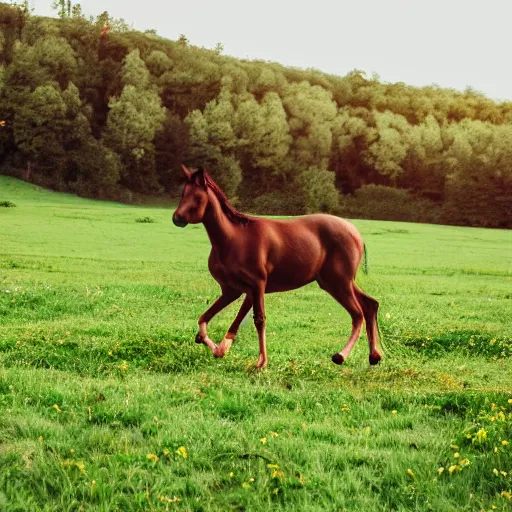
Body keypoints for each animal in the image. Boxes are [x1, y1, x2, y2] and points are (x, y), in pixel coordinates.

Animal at [174, 166, 382, 370]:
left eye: (197, 197)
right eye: (183, 193)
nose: (177, 218)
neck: (232, 239)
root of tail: (355, 233)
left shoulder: (256, 285)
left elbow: (259, 319)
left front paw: (261, 362)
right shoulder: (234, 290)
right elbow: (209, 318)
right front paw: (219, 348)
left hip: (338, 283)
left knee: (357, 314)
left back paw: (341, 355)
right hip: (338, 282)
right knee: (370, 304)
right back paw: (374, 357)